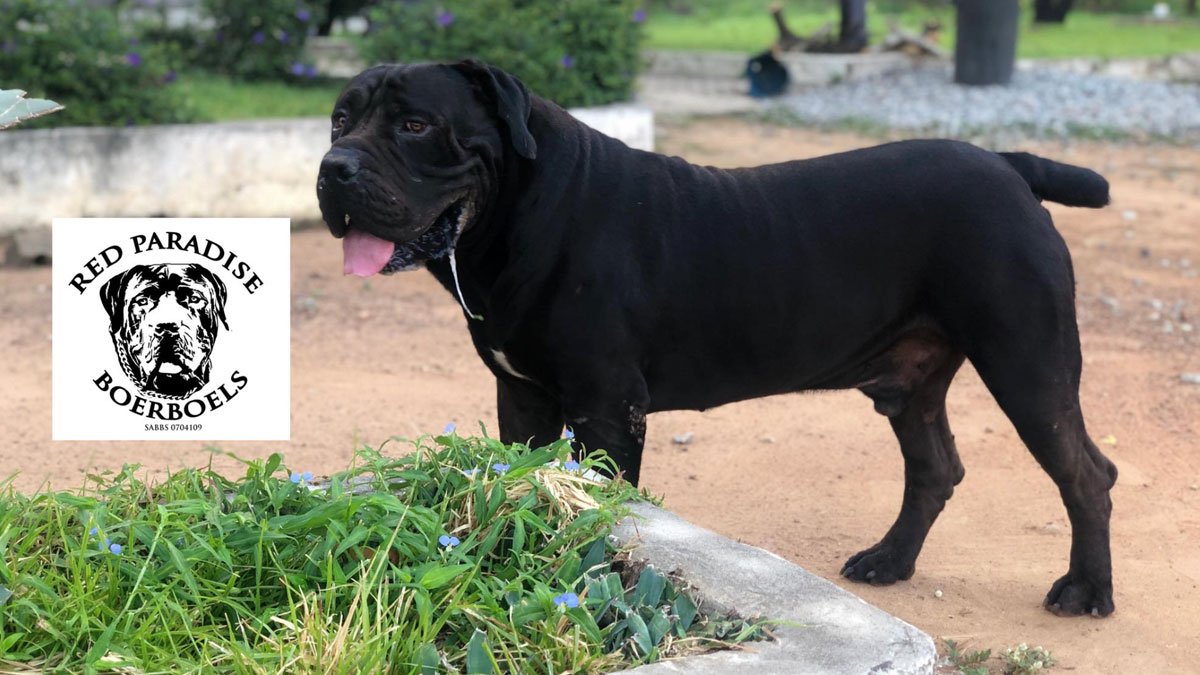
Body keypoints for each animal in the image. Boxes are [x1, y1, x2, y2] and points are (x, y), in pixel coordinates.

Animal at [316, 61, 1113, 614]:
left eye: (415, 125)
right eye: (337, 121)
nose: (333, 167)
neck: (515, 216)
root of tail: (1008, 162)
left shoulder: (606, 407)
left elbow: (602, 513)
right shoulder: (524, 398)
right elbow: (531, 492)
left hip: (1027, 363)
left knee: (1085, 474)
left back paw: (1085, 592)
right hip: (915, 383)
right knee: (934, 469)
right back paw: (889, 561)